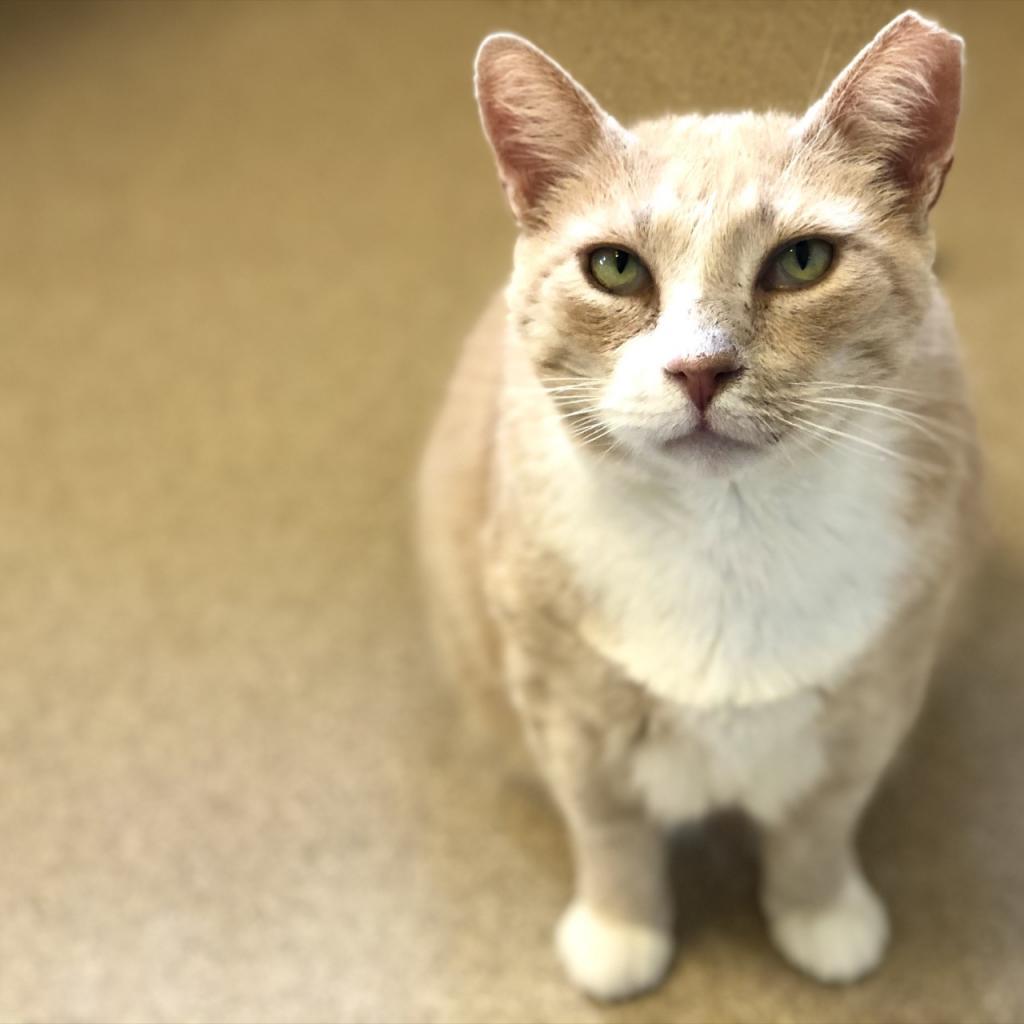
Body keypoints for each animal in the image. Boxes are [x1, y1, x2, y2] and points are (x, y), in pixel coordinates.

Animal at [417, 8, 983, 999]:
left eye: (802, 260)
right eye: (614, 268)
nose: (700, 368)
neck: (730, 531)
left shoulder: (876, 697)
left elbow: (820, 826)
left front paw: (820, 916)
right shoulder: (567, 715)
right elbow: (609, 835)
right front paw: (620, 932)